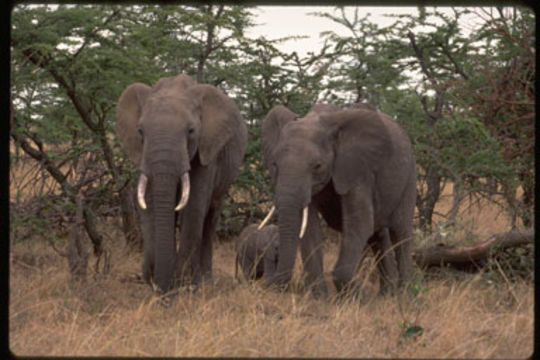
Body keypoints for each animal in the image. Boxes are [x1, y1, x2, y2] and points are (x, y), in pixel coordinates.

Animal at [117, 74, 248, 294]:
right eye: (140, 131)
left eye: (191, 131)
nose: (148, 275)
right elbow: (150, 203)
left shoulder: (207, 149)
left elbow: (194, 206)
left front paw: (183, 282)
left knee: (210, 217)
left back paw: (205, 281)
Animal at [262, 103, 418, 298]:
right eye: (274, 164)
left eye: (317, 166)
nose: (271, 284)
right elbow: (310, 229)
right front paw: (320, 300)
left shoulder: (358, 170)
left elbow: (359, 223)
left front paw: (358, 297)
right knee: (378, 235)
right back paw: (386, 295)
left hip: (409, 176)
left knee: (401, 231)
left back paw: (404, 297)